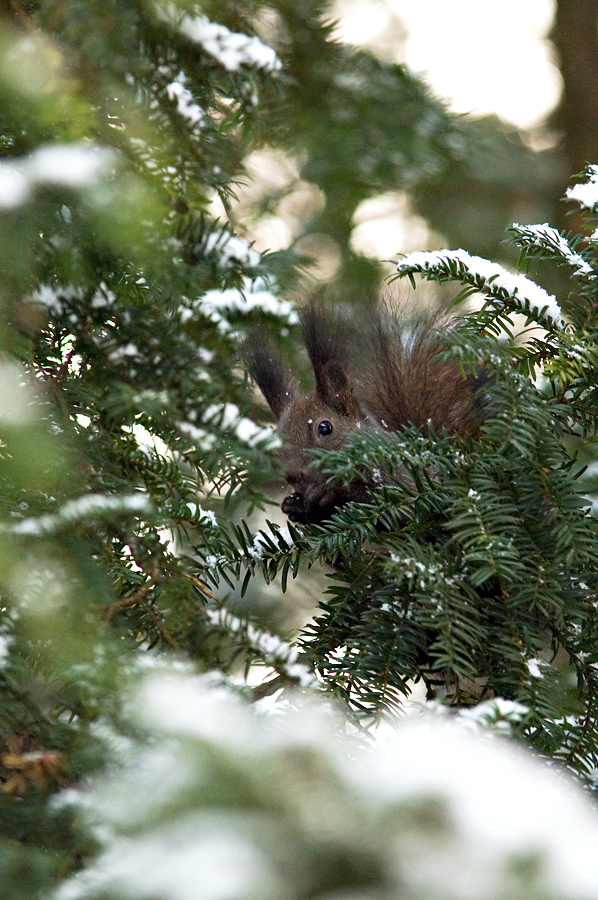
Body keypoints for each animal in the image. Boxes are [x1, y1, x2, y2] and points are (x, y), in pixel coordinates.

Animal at [246, 304, 490, 528]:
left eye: (324, 428)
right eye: (276, 442)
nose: (294, 475)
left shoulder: (402, 479)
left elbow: (397, 503)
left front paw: (331, 494)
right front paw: (294, 506)